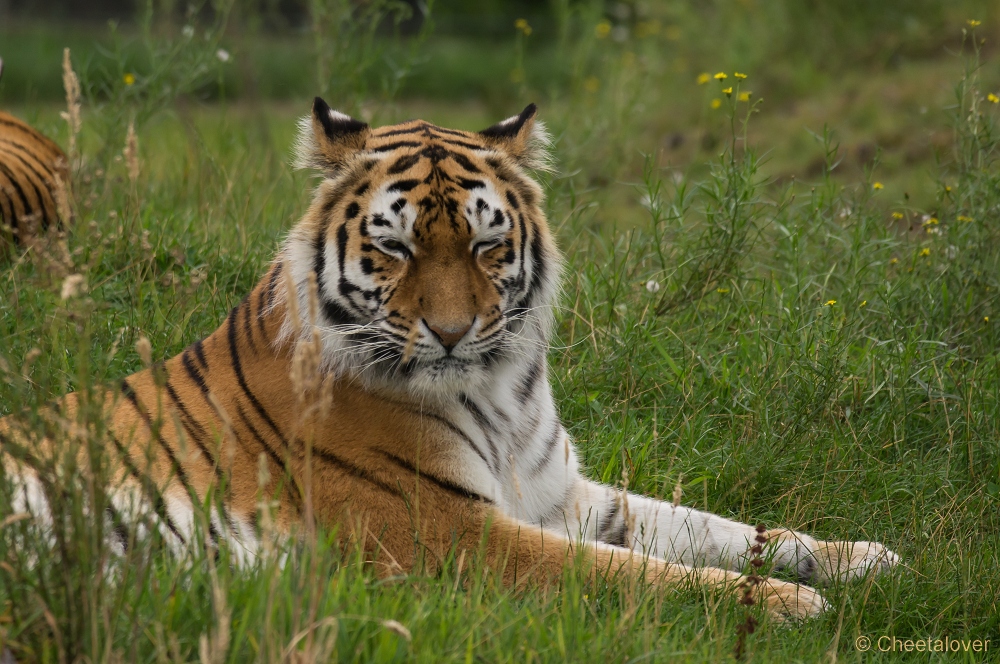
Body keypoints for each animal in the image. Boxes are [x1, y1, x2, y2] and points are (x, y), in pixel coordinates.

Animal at [0, 98, 904, 624]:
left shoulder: (563, 495)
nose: (451, 332)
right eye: (395, 248)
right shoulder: (449, 532)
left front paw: (860, 558)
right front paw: (793, 605)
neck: (502, 391)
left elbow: (725, 528)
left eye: (485, 243)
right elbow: (635, 573)